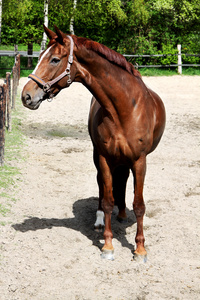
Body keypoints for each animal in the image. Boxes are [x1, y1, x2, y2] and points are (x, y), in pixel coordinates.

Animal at [21, 25, 166, 260]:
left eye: (54, 59)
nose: (26, 96)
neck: (124, 109)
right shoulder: (105, 157)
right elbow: (107, 201)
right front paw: (107, 246)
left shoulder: (139, 161)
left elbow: (139, 205)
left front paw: (140, 249)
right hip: (99, 155)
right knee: (102, 186)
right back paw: (100, 222)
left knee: (122, 182)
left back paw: (122, 214)